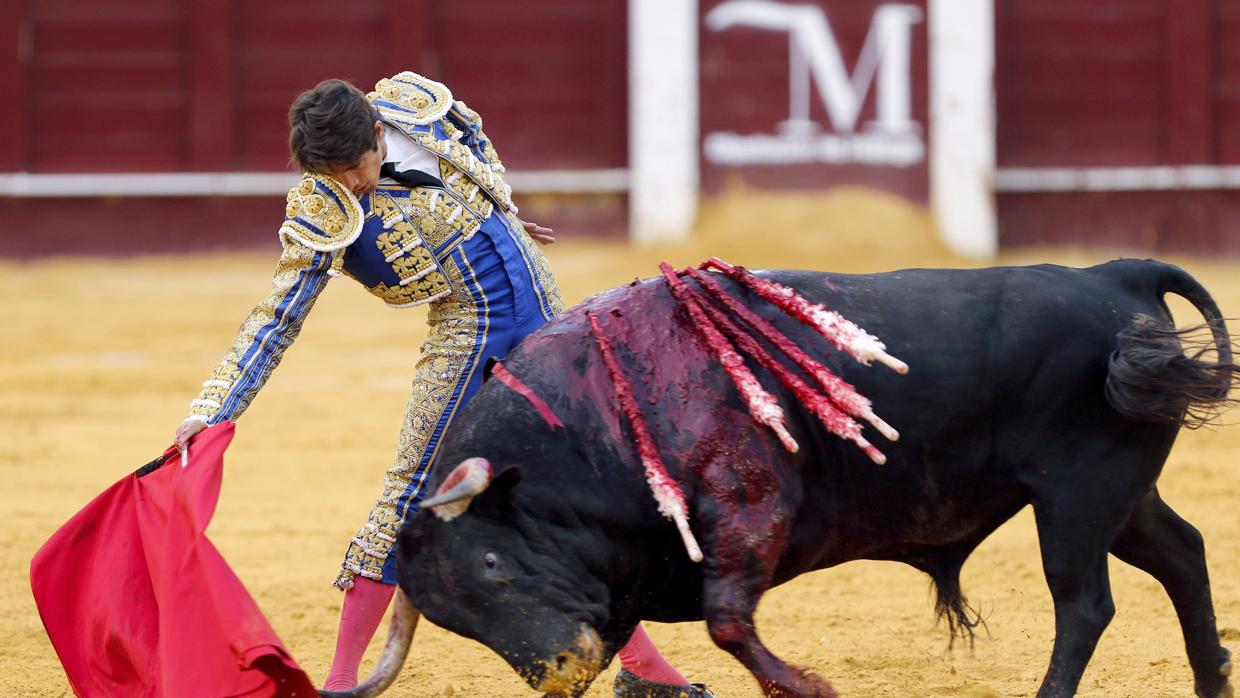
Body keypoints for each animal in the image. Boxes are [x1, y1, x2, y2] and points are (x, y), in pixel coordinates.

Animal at [324, 260, 1235, 698]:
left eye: (489, 563)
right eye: (455, 621)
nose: (562, 669)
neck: (594, 424)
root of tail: (1111, 274)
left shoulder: (750, 511)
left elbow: (729, 621)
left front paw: (811, 687)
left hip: (1076, 500)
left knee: (1084, 605)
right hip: (1119, 495)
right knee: (1184, 553)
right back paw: (1211, 680)